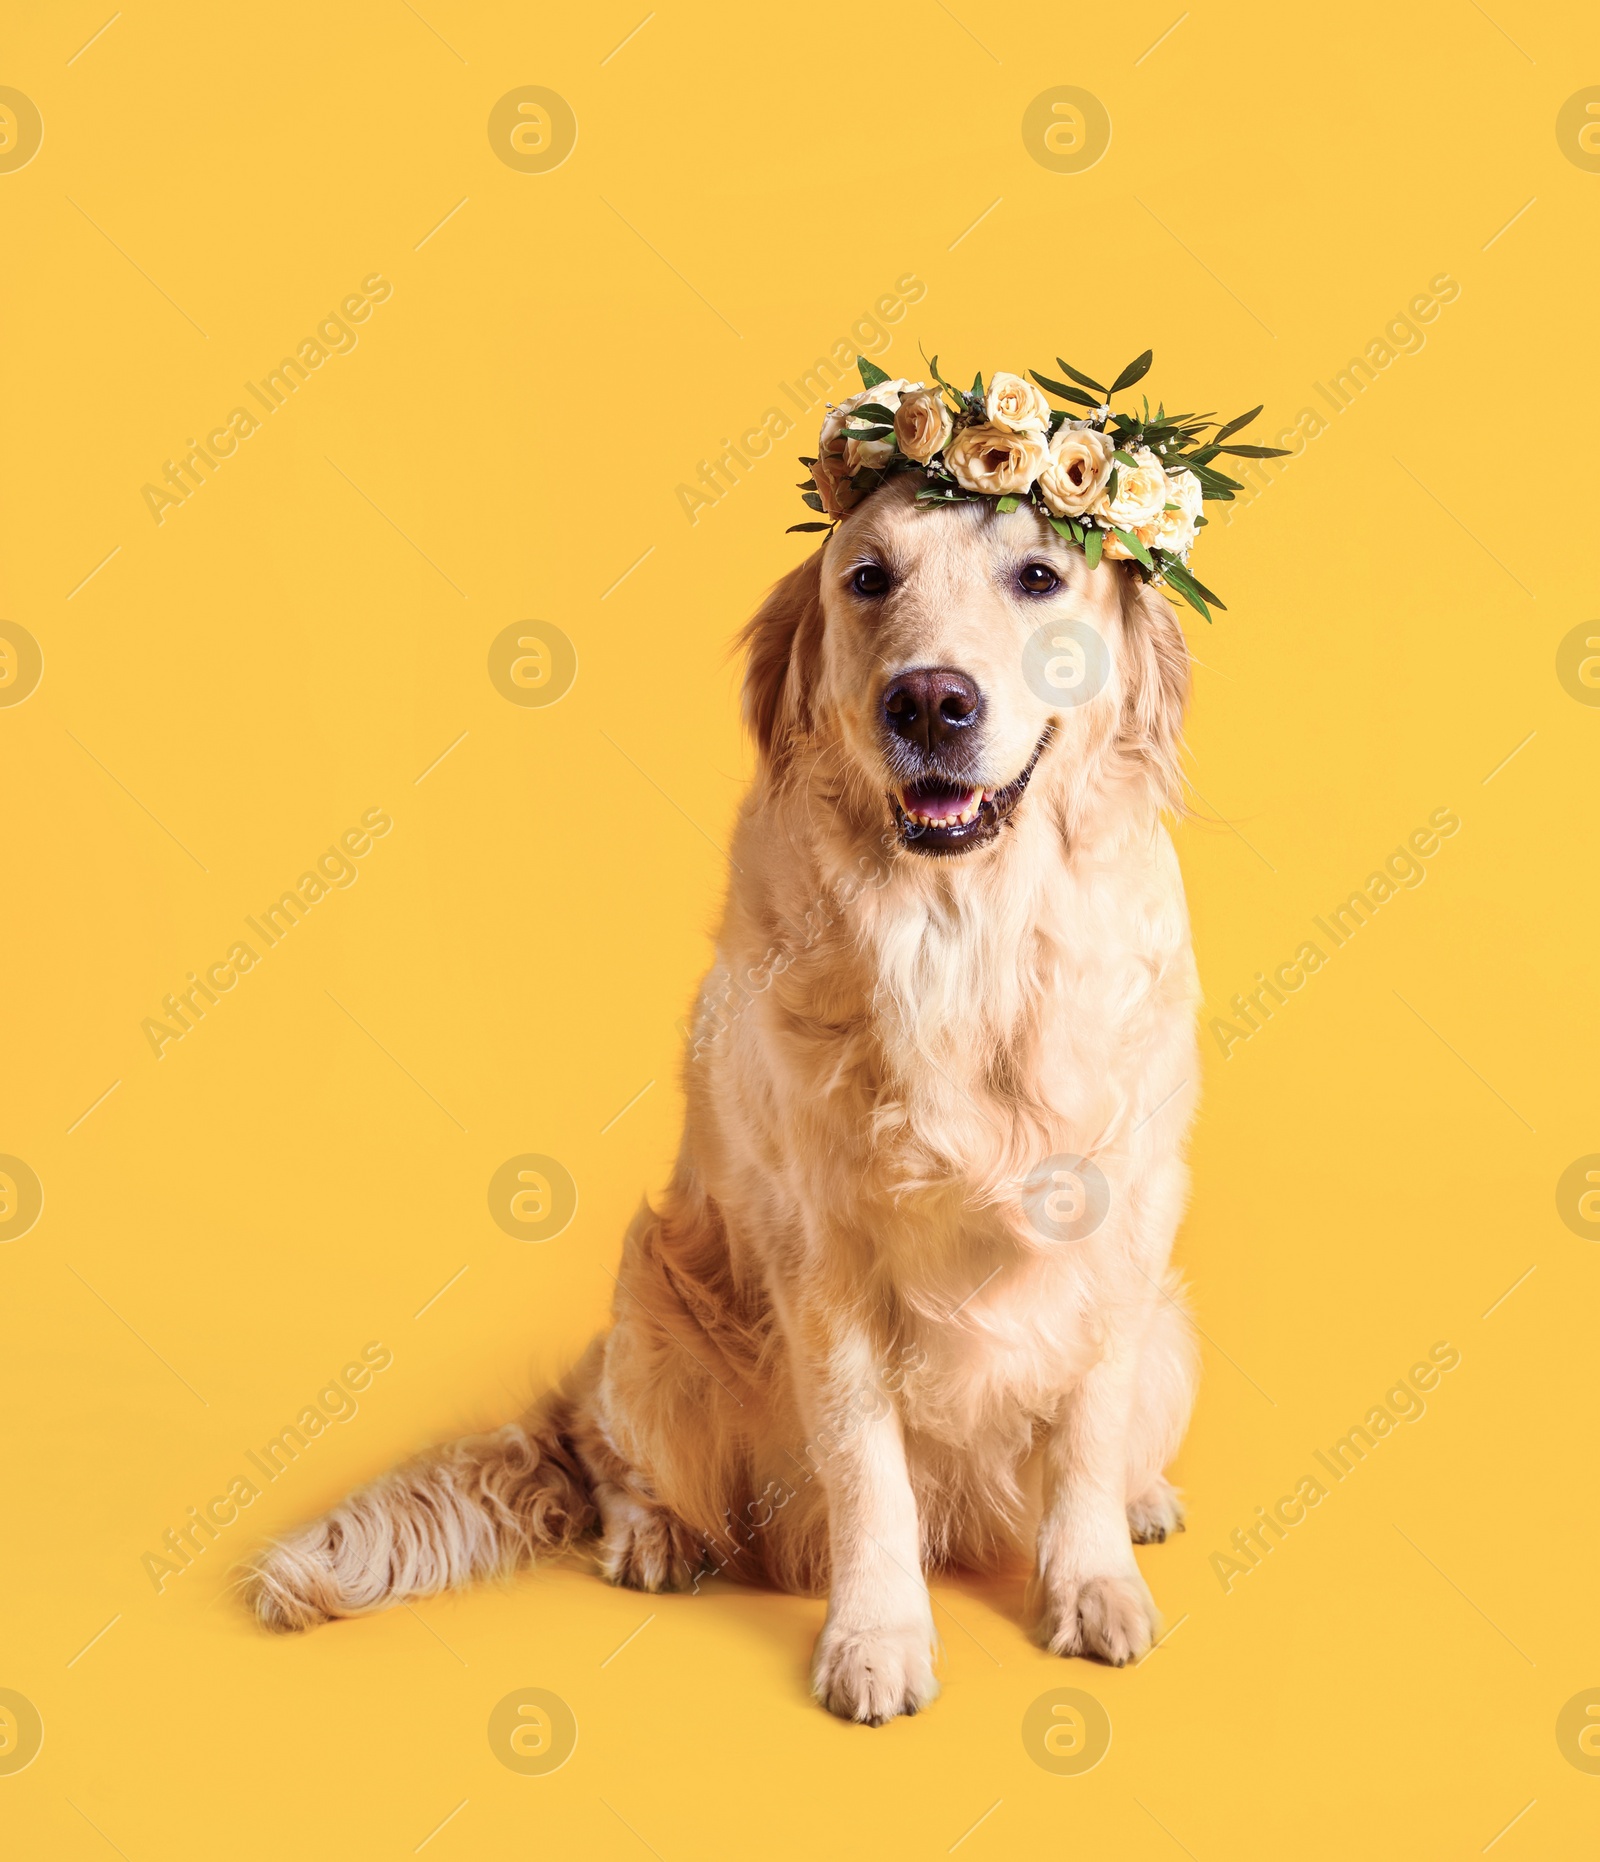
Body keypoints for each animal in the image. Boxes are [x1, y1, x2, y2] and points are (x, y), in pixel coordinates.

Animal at [247, 469, 1199, 1727]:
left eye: (1039, 575)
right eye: (868, 577)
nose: (929, 701)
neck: (967, 942)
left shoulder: (1125, 1211)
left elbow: (1087, 1425)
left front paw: (1092, 1578)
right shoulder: (821, 1251)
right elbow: (866, 1468)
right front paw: (877, 1635)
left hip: (1174, 1329)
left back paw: (1143, 1500)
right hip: (652, 1305)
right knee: (612, 1457)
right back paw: (652, 1536)